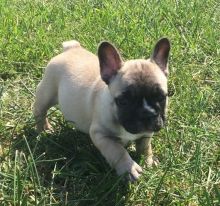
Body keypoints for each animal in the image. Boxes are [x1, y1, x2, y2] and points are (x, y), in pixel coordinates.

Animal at [33, 37, 170, 181]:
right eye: (123, 101)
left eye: (161, 97)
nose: (147, 113)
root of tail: (72, 48)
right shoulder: (101, 135)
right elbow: (117, 151)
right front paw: (129, 168)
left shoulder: (147, 133)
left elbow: (145, 146)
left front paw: (148, 160)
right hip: (47, 92)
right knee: (40, 111)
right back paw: (44, 129)